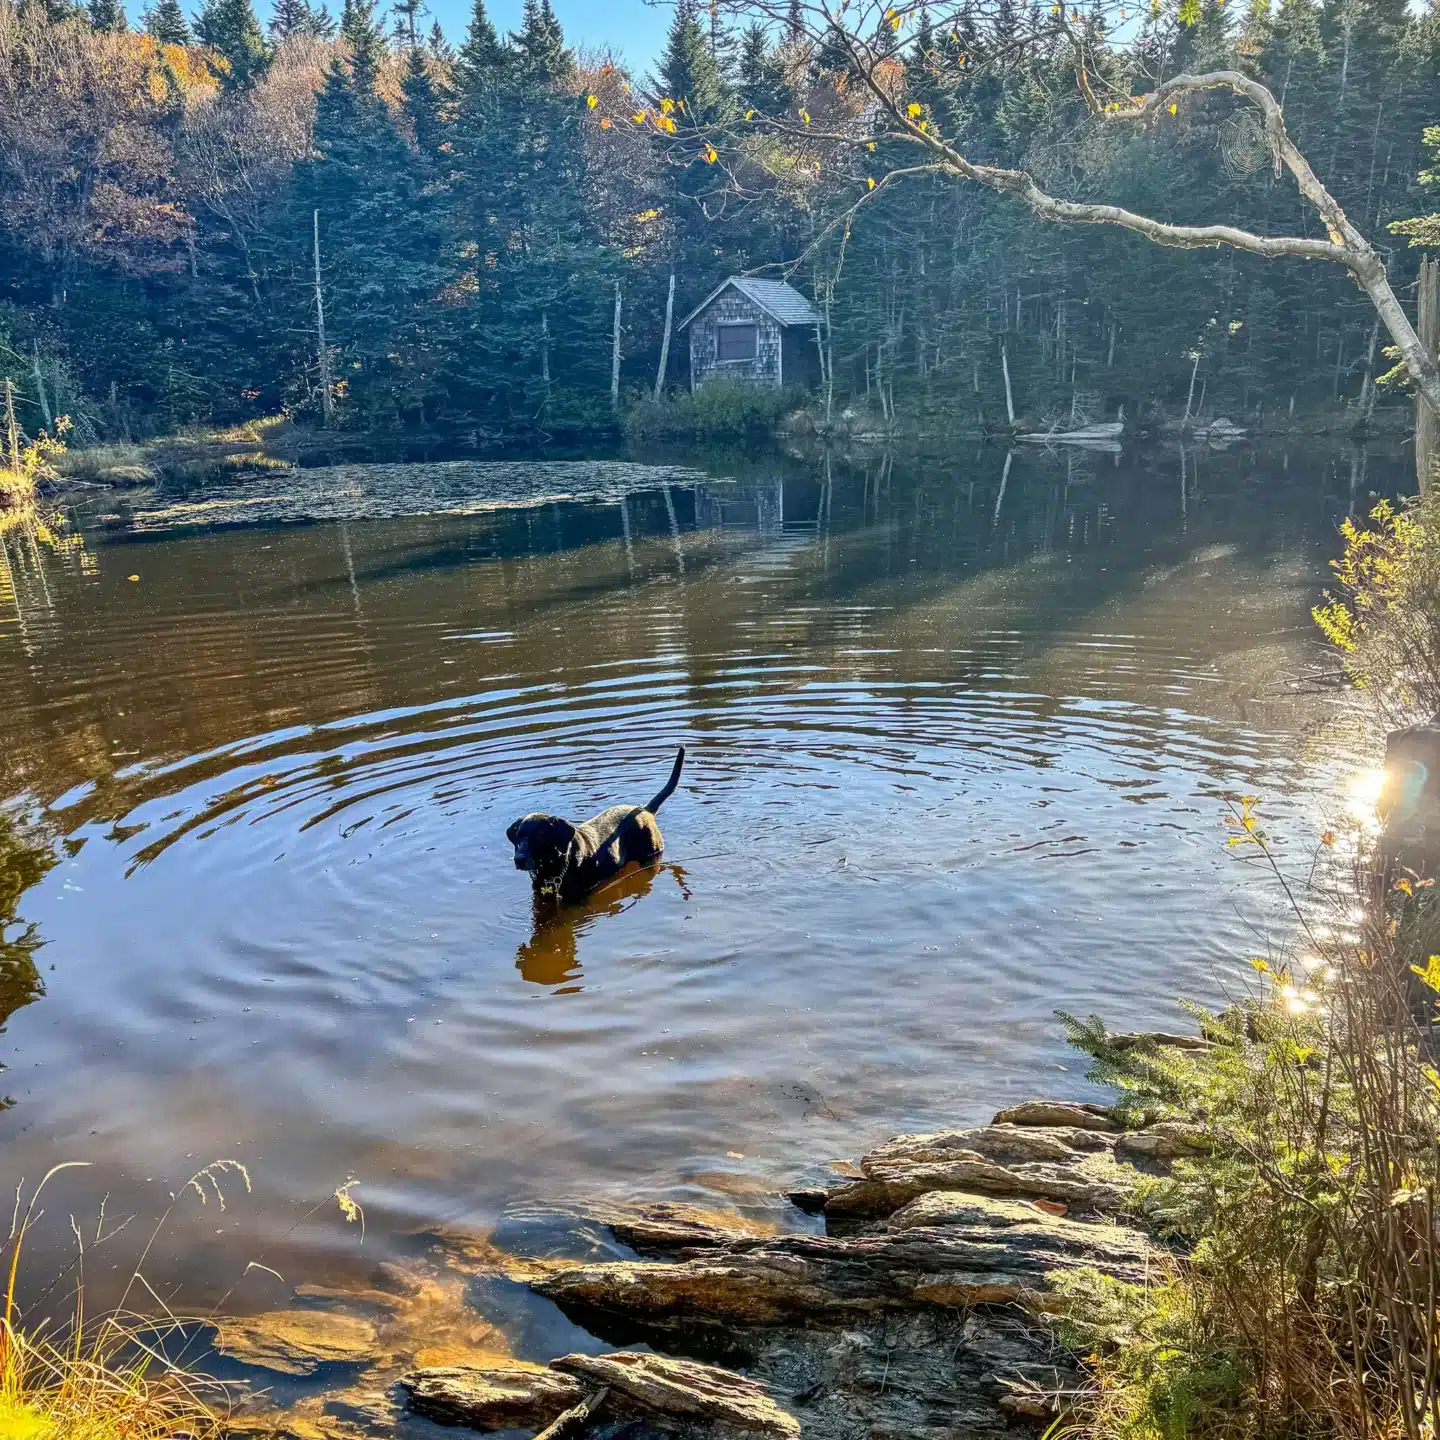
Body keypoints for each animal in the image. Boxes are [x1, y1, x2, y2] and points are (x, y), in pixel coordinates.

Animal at [506, 748, 685, 904]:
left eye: (540, 835)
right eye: (519, 836)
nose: (518, 859)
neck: (553, 869)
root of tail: (645, 809)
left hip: (652, 854)